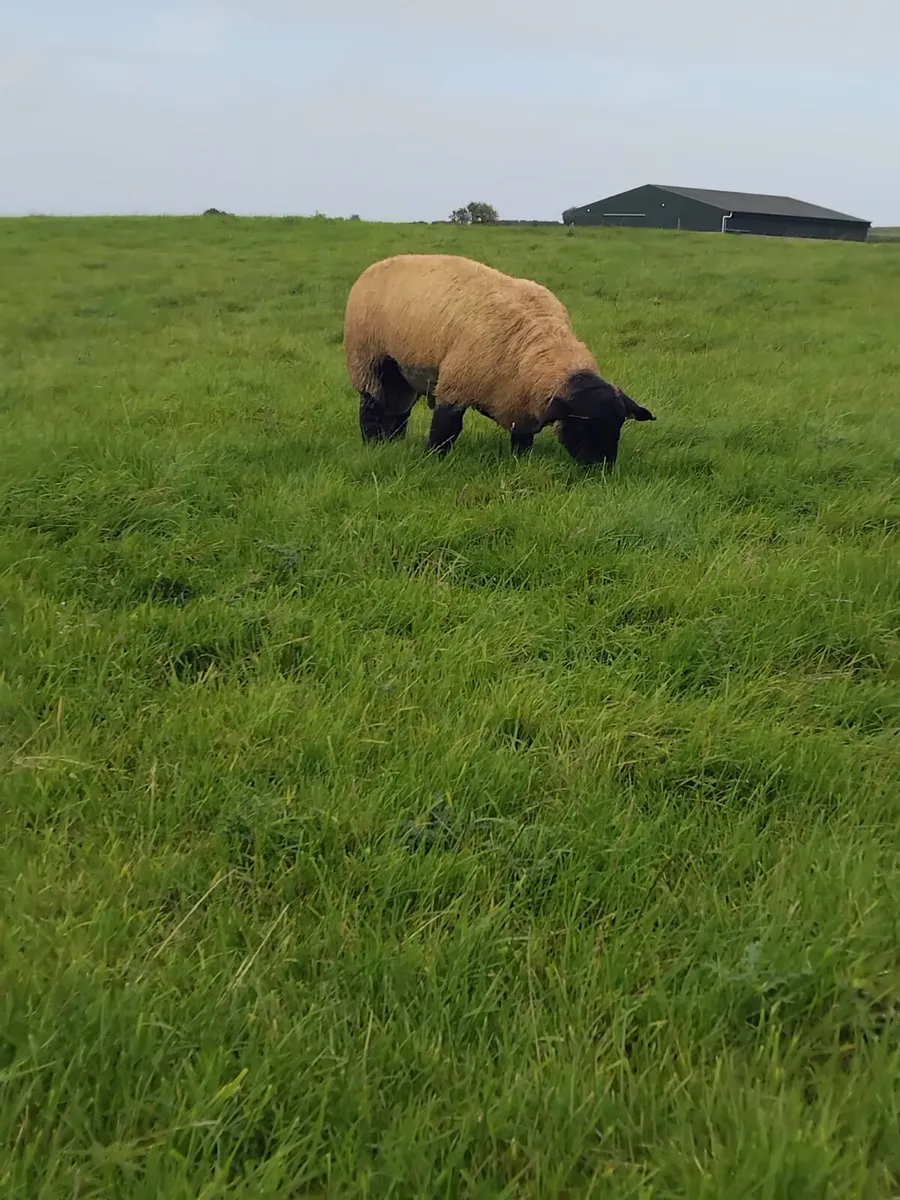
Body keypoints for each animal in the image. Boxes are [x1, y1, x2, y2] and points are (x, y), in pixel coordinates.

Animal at [343, 253, 655, 467]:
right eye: (582, 424)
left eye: (618, 425)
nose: (601, 469)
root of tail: (377, 264)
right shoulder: (455, 387)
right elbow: (445, 431)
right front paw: (434, 460)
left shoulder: (521, 403)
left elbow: (522, 441)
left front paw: (521, 462)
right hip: (367, 361)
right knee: (370, 407)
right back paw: (372, 443)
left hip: (403, 374)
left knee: (397, 410)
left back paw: (391, 442)